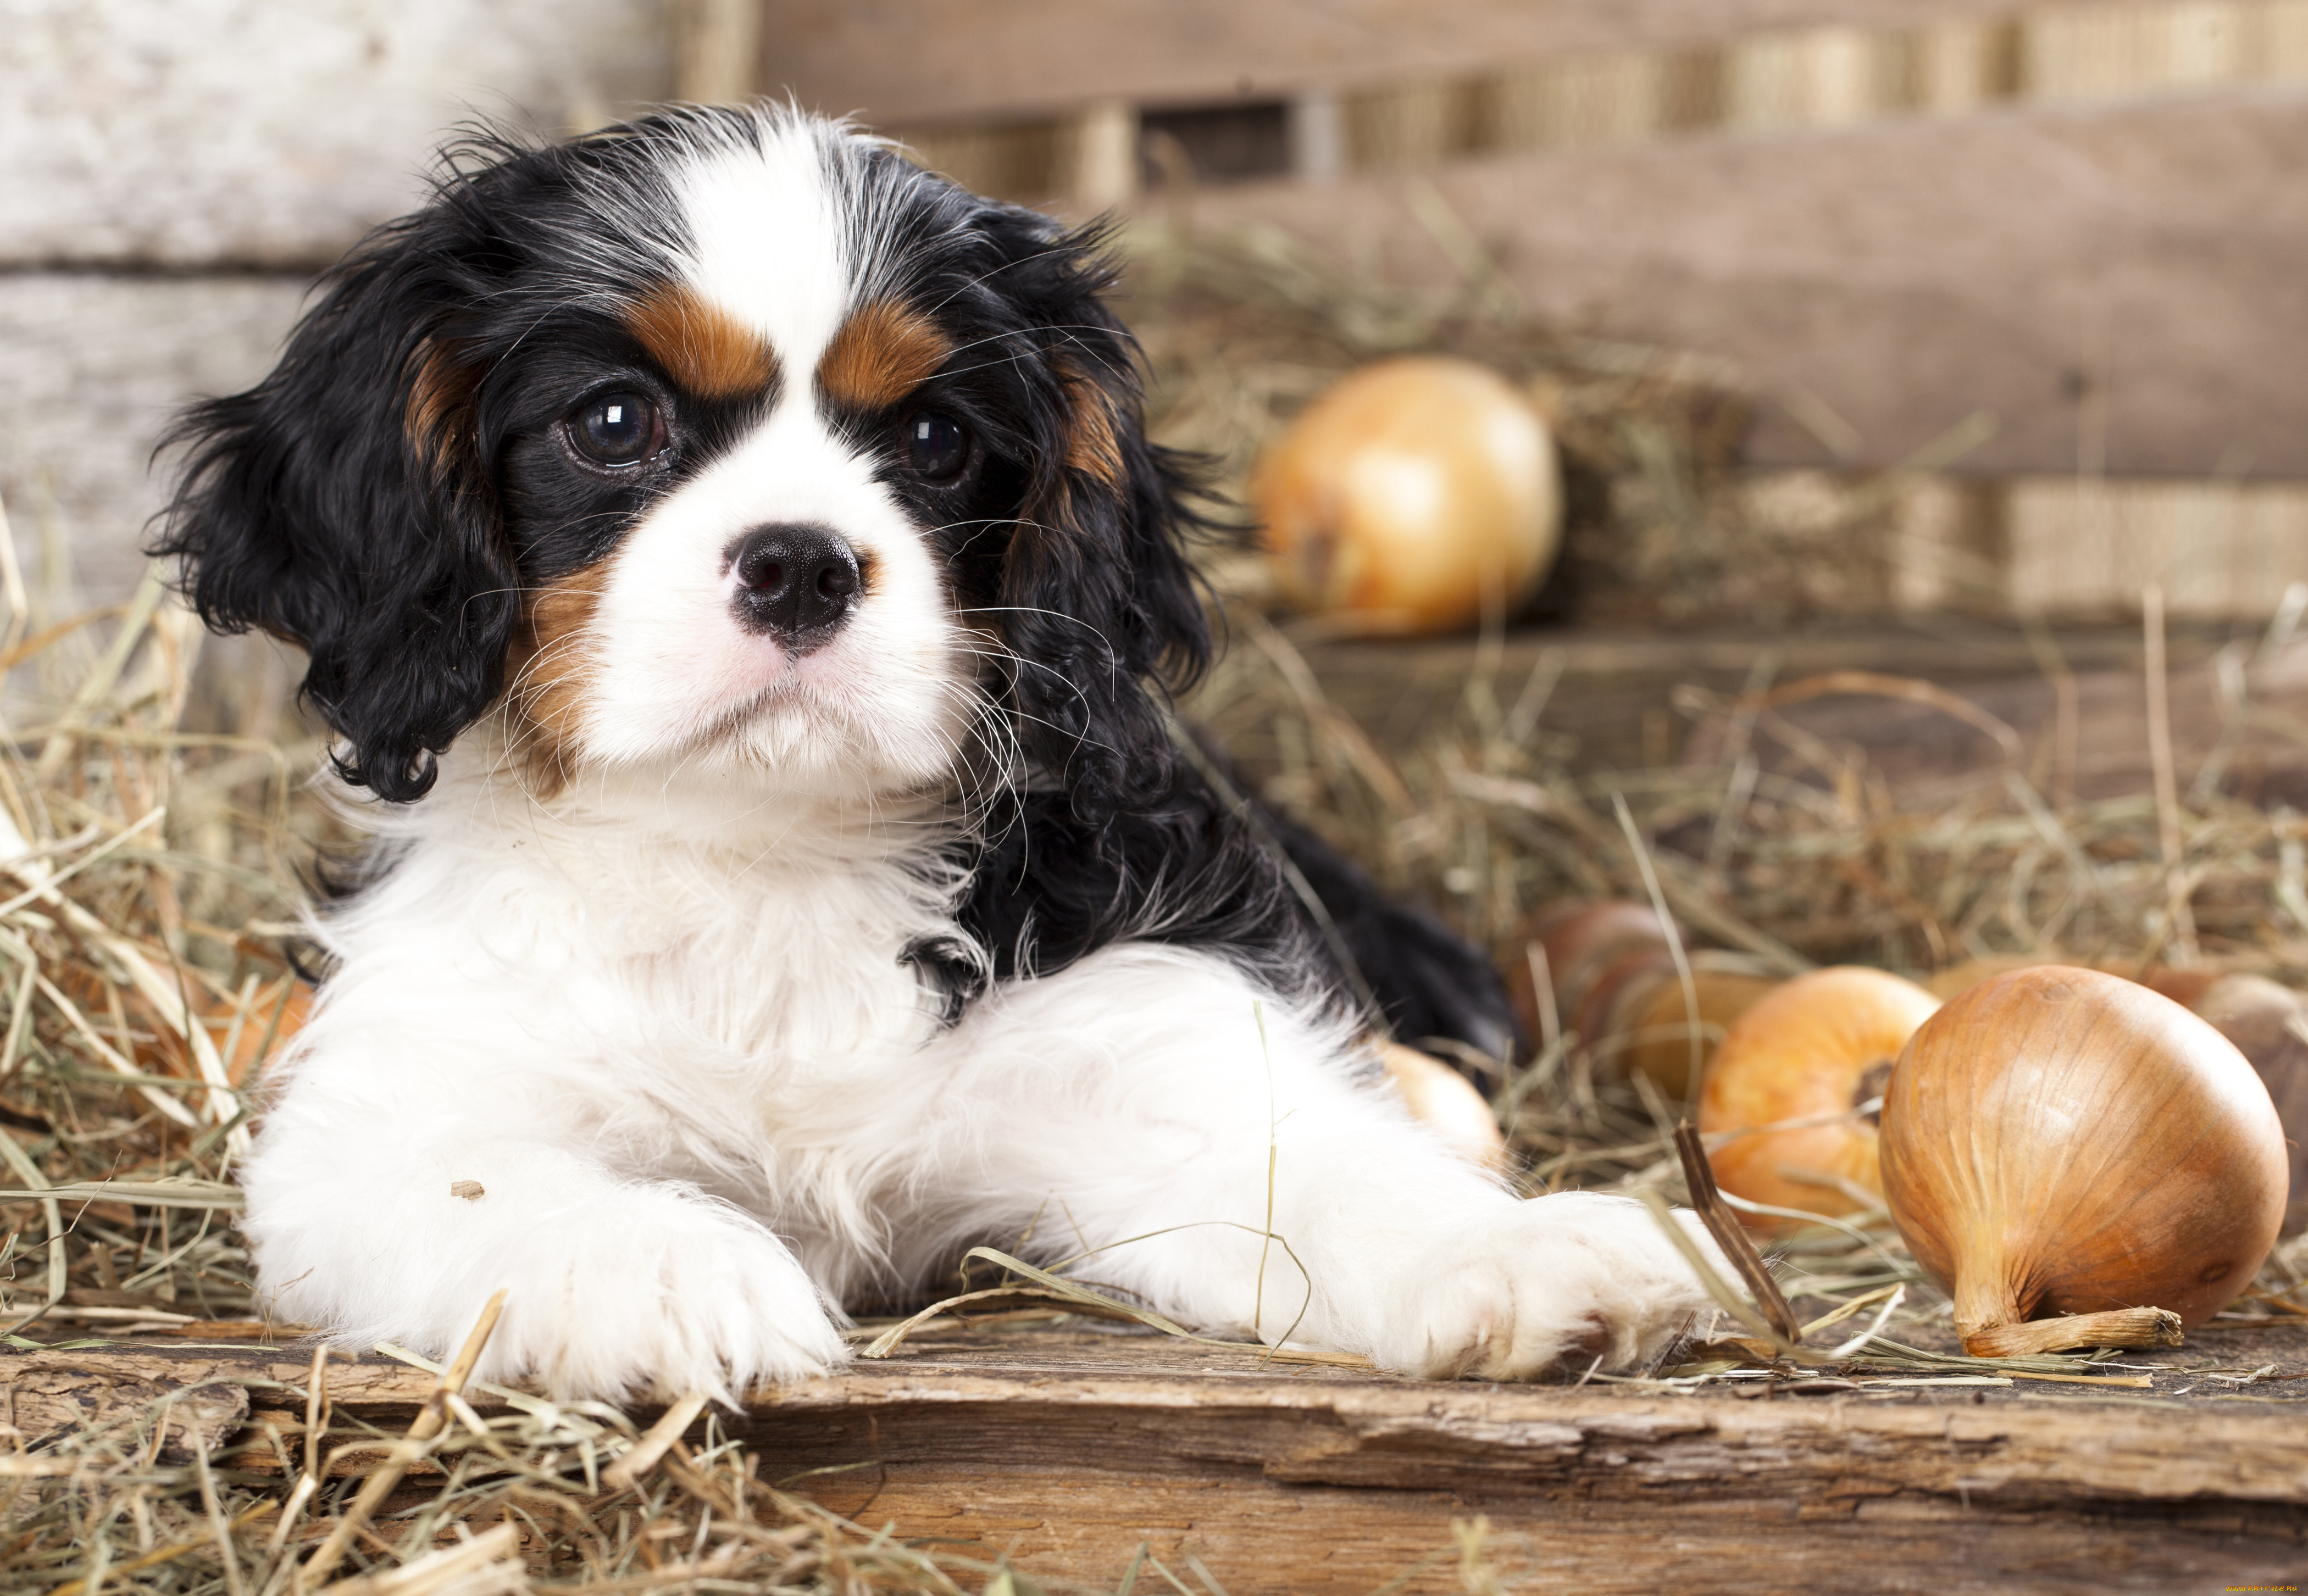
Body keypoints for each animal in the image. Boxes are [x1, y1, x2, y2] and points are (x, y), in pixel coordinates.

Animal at [163, 106, 1717, 1402]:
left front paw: (1522, 1253)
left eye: (932, 435)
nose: (798, 565)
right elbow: (485, 1183)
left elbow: (1317, 1171)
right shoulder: (396, 1109)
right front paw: (661, 1267)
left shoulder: (1147, 1032)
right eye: (611, 422)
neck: (765, 849)